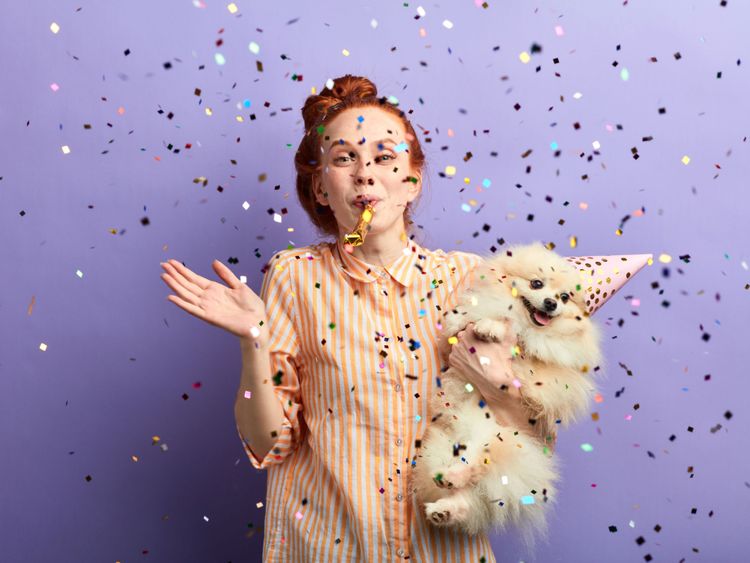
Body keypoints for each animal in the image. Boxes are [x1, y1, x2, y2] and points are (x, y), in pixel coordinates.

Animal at [414, 240, 656, 552]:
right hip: (444, 445)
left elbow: (524, 340)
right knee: (470, 494)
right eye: (537, 284)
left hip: (491, 433)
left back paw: (454, 480)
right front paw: (484, 322)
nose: (551, 303)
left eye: (565, 297)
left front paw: (494, 328)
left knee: (478, 465)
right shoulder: (453, 338)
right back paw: (444, 506)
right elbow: (471, 321)